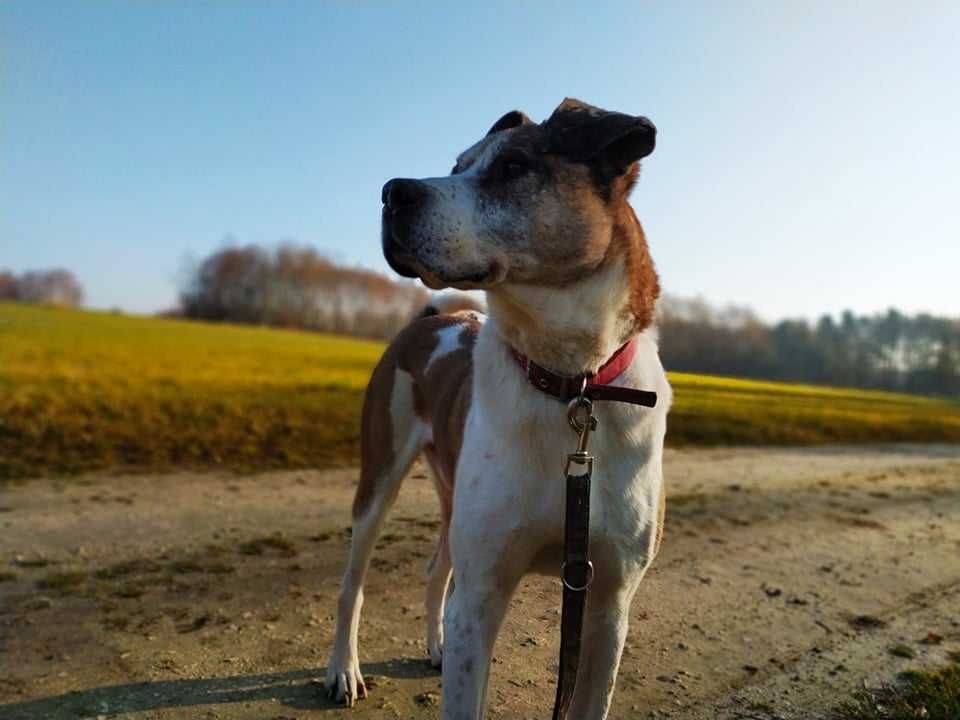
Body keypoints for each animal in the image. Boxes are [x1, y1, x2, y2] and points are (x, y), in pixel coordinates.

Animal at [326, 97, 672, 720]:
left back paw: (434, 646)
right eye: (457, 166)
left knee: (438, 569)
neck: (570, 382)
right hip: (379, 478)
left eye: (513, 168)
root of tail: (431, 318)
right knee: (352, 587)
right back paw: (343, 670)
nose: (391, 191)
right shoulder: (483, 593)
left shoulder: (608, 605)